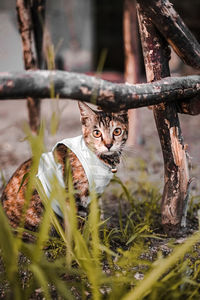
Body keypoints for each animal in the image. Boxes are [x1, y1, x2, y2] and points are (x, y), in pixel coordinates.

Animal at [1, 102, 128, 234]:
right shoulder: (74, 196)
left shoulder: (95, 196)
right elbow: (78, 224)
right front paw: (82, 239)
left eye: (117, 131)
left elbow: (96, 216)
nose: (108, 145)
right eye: (97, 133)